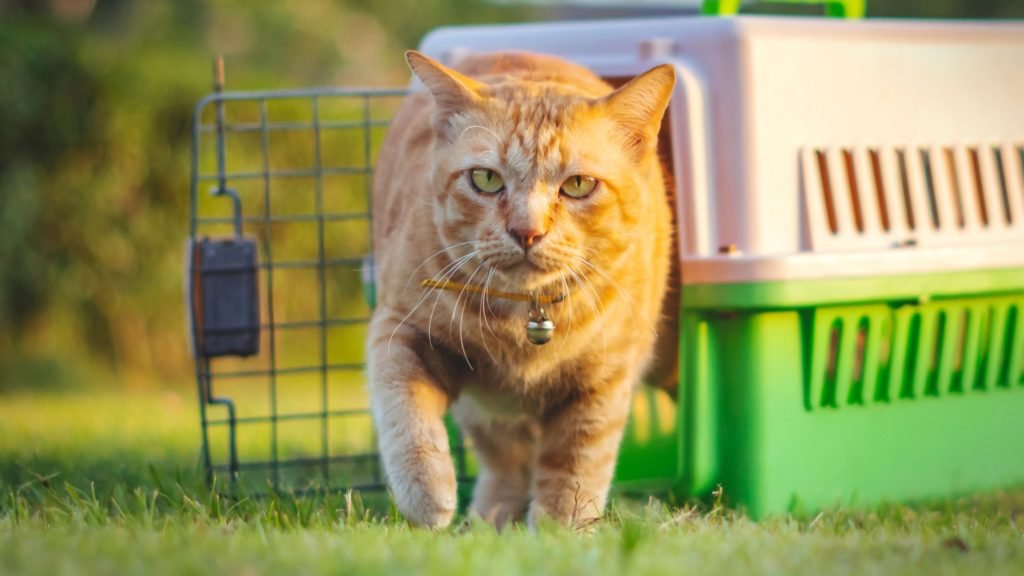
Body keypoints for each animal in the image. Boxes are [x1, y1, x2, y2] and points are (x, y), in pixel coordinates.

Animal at [366, 51, 671, 528]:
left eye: (578, 185)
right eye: (486, 179)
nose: (526, 232)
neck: (525, 321)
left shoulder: (603, 384)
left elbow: (573, 474)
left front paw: (558, 534)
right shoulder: (401, 330)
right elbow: (406, 410)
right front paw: (427, 495)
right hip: (485, 412)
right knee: (505, 466)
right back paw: (483, 523)